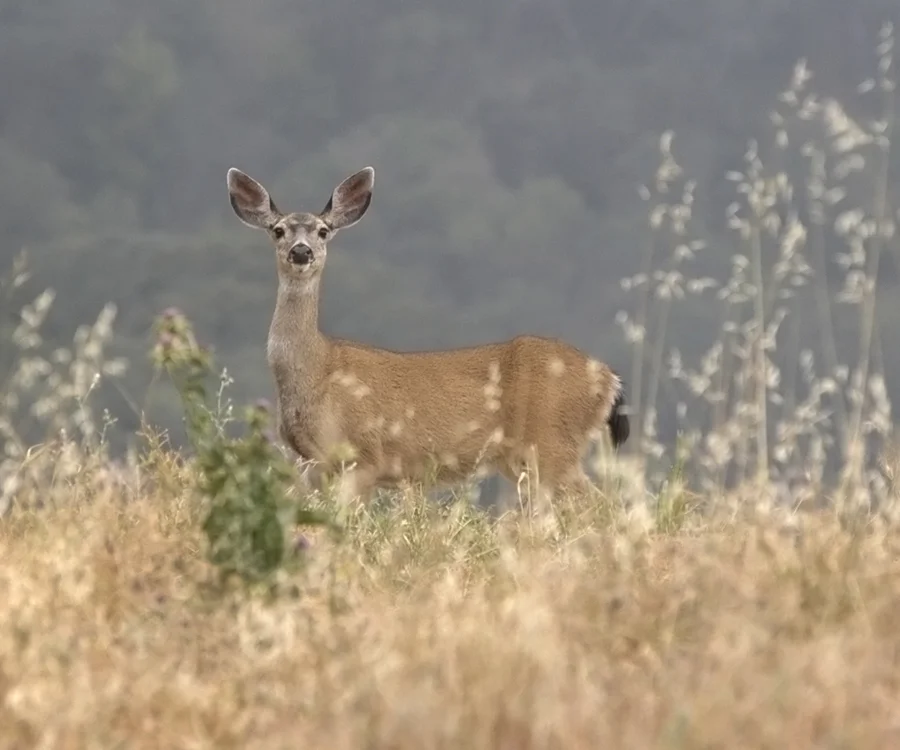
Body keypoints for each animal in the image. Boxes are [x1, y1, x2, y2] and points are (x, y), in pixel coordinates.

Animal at [226, 165, 629, 509]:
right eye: (278, 230)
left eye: (323, 231)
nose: (301, 252)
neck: (317, 369)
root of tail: (610, 379)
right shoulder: (315, 465)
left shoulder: (363, 457)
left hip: (551, 444)